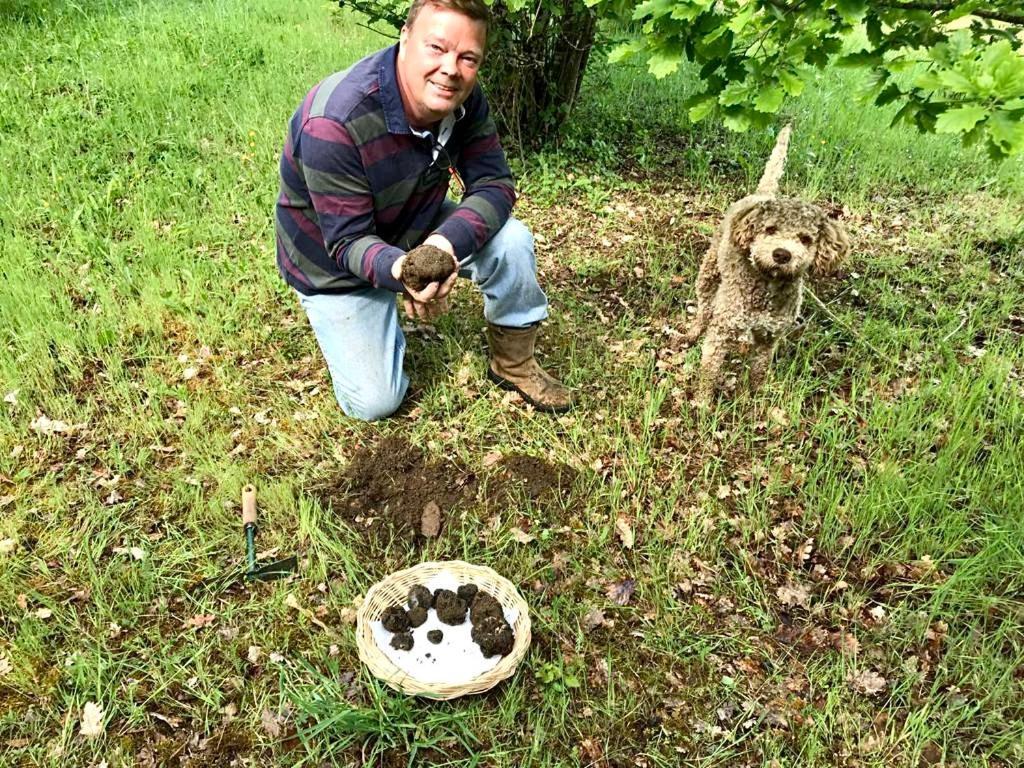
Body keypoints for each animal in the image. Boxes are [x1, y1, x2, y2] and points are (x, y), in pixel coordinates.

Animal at [688, 126, 847, 403]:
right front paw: (703, 403)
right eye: (770, 229)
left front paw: (756, 398)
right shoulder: (721, 332)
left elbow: (759, 370)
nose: (782, 254)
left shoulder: (769, 337)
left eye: (805, 239)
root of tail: (763, 195)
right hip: (709, 270)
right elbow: (710, 371)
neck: (767, 284)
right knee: (704, 306)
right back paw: (693, 331)